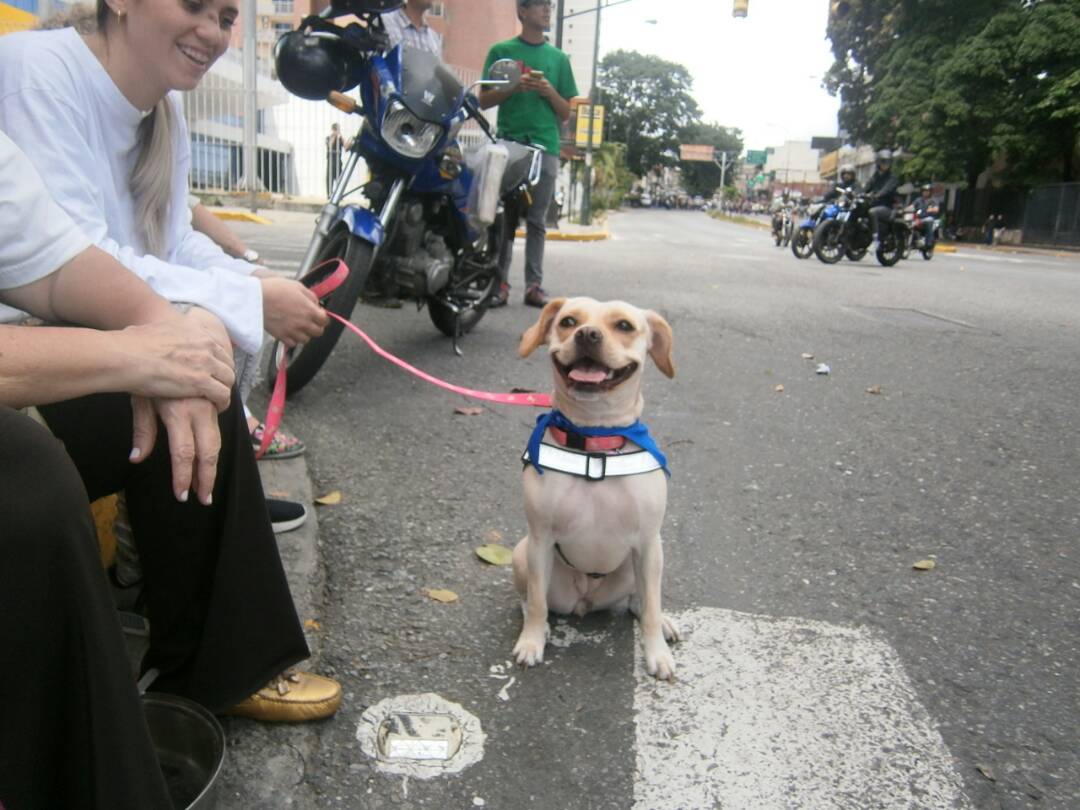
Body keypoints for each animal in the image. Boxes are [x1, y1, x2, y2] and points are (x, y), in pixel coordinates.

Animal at [511, 295, 678, 678]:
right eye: (568, 322)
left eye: (624, 326)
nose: (588, 334)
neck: (594, 440)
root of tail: (586, 600)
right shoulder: (540, 539)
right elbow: (538, 603)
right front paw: (532, 641)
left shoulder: (649, 541)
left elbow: (650, 605)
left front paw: (656, 651)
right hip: (522, 554)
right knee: (530, 601)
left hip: (641, 563)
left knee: (642, 599)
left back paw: (661, 621)